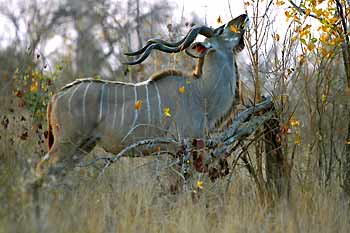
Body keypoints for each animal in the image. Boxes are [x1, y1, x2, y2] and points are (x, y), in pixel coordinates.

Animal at [35, 13, 249, 181]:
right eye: (221, 30)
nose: (243, 16)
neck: (201, 92)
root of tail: (56, 97)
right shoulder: (179, 148)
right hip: (66, 142)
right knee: (42, 170)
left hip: (82, 146)